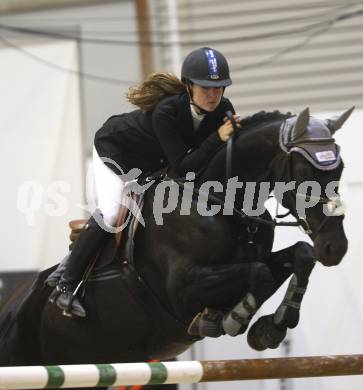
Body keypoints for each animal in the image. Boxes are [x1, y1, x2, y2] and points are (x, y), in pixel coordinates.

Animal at [0, 107, 352, 390]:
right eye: (305, 172)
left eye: (340, 168)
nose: (335, 248)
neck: (220, 203)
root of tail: (11, 305)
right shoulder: (182, 291)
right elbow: (260, 272)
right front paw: (235, 317)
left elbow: (299, 255)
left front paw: (269, 329)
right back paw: (66, 293)